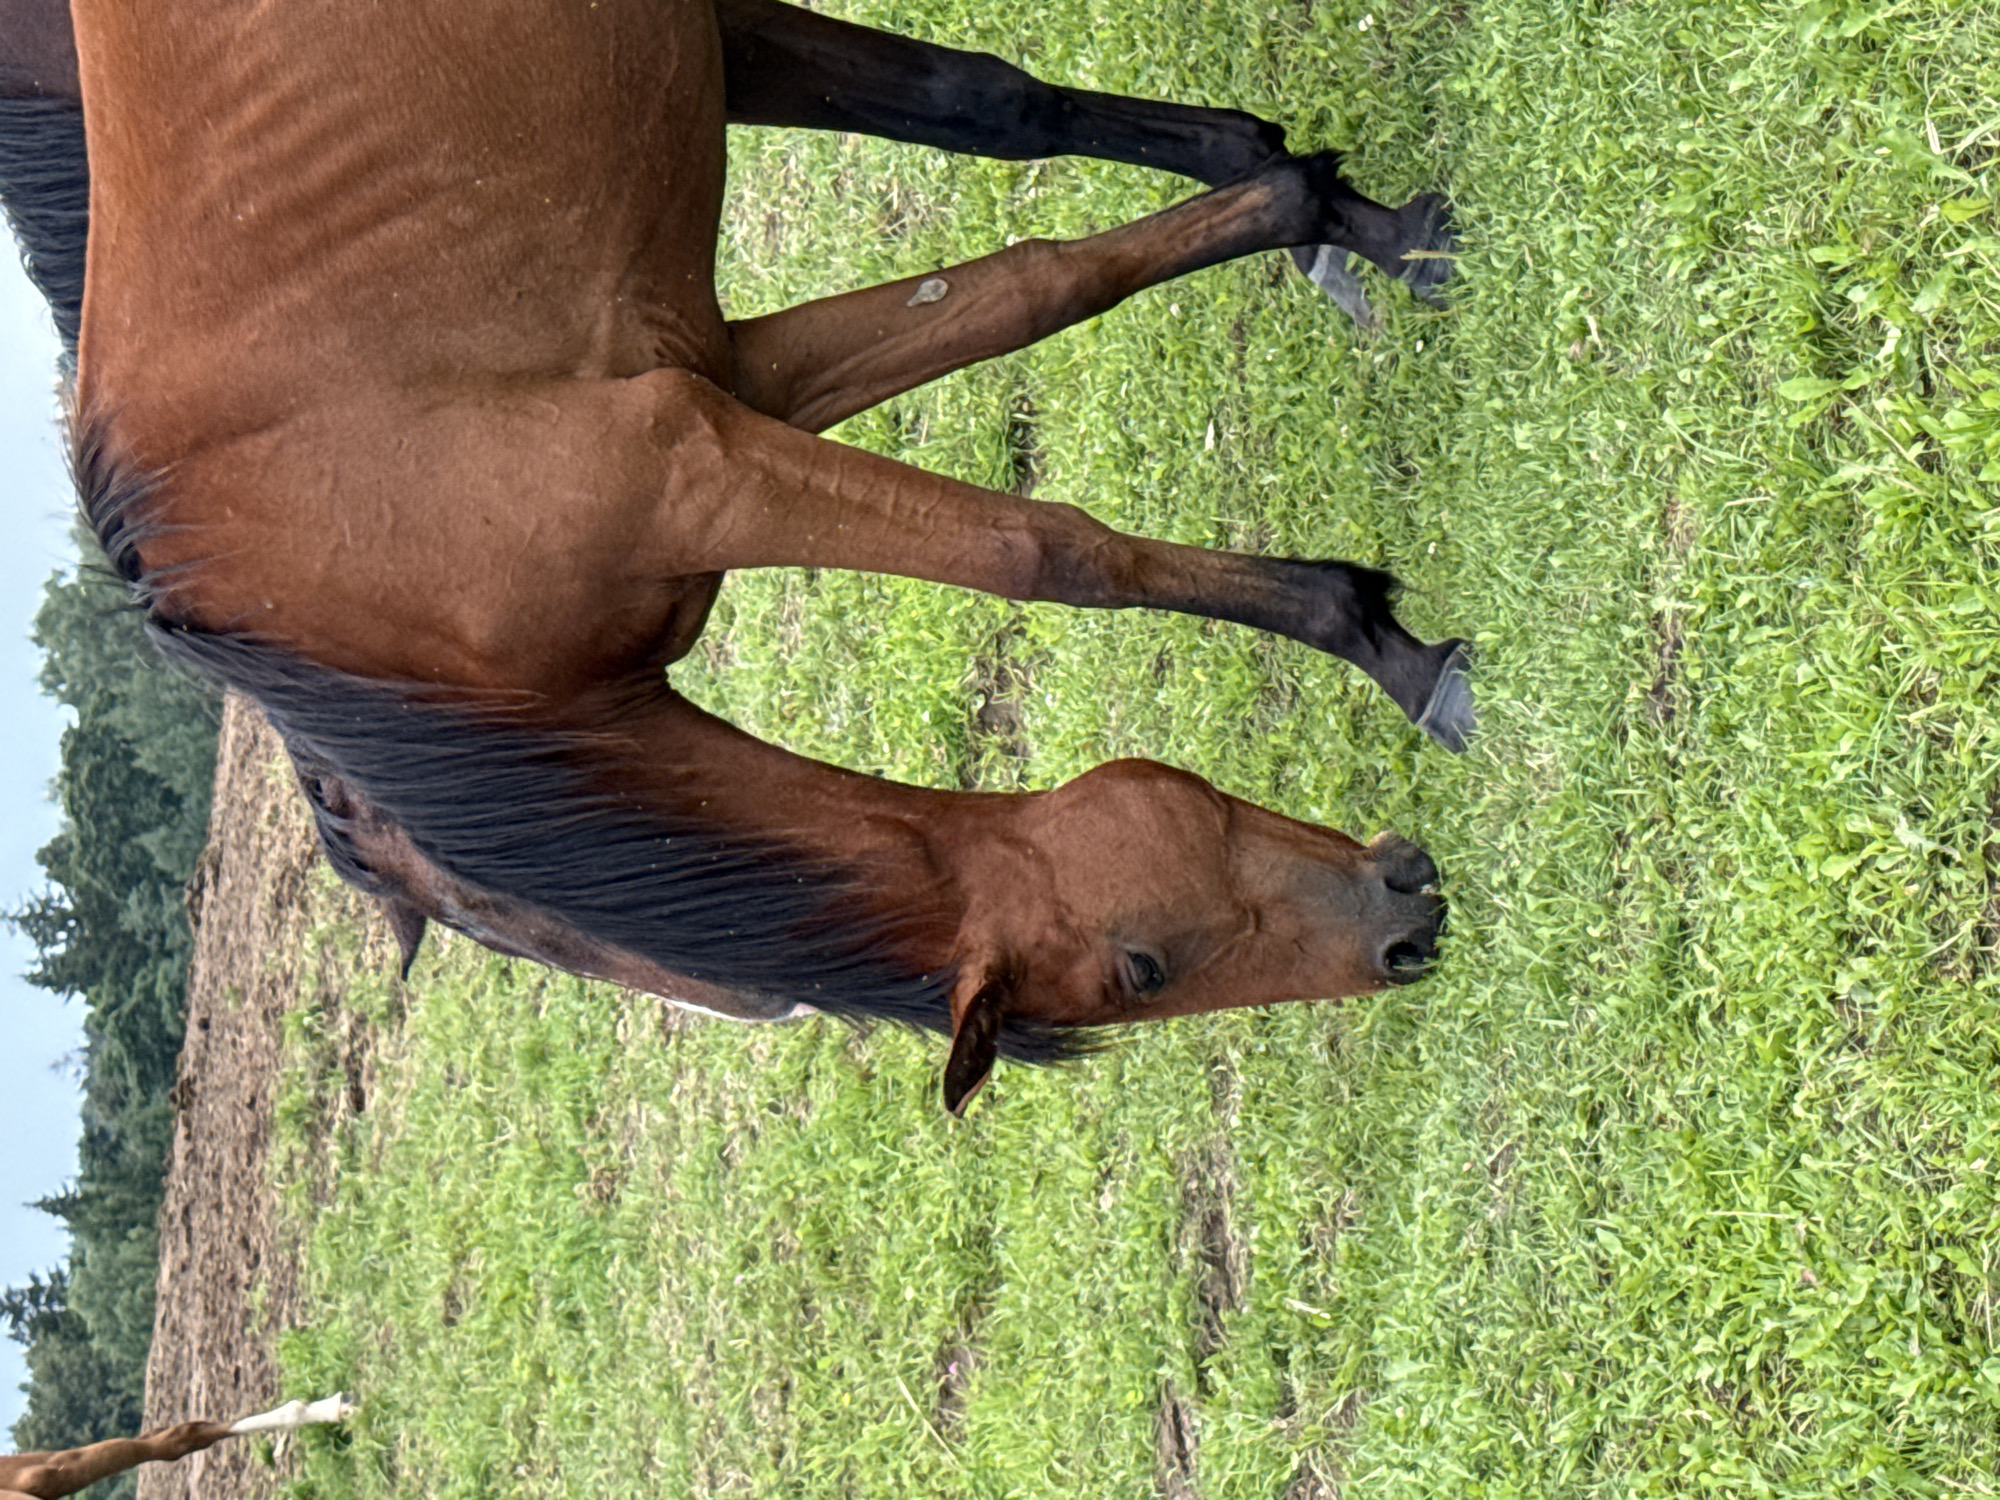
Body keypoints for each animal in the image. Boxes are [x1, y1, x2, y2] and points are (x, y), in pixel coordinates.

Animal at [2, 0, 1462, 1112]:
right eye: (1140, 972)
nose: (1406, 932)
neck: (373, 620)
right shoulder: (730, 391)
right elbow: (1034, 290)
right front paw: (1334, 217)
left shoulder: (696, 461)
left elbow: (1041, 540)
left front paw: (1386, 639)